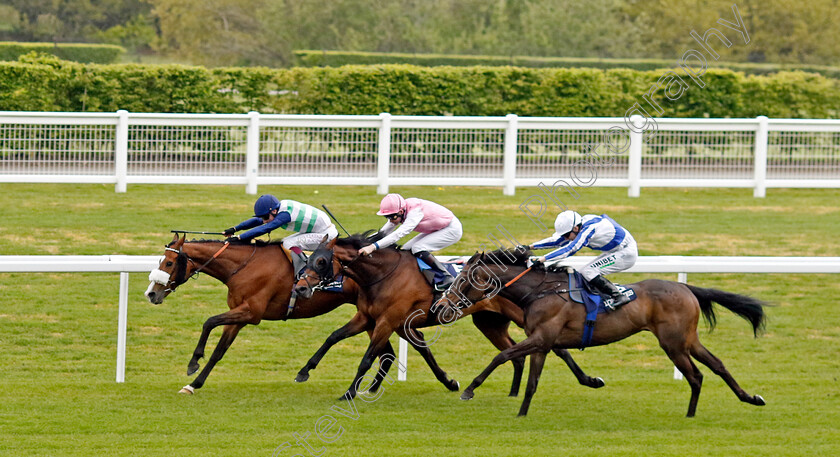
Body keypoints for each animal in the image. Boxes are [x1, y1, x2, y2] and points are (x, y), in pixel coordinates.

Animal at [290, 235, 604, 400]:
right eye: (307, 258)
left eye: (321, 261)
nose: (301, 287)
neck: (382, 275)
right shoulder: (367, 317)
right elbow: (333, 337)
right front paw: (304, 370)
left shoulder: (388, 321)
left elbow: (368, 357)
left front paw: (349, 393)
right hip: (489, 323)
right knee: (514, 352)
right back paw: (513, 392)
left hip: (522, 319)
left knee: (557, 348)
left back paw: (590, 380)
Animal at [442, 249, 772, 416]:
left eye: (463, 281)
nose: (444, 304)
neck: (541, 292)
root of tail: (686, 288)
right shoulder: (543, 343)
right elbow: (532, 381)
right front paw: (522, 414)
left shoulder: (540, 338)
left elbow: (502, 356)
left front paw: (469, 389)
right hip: (688, 339)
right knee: (717, 365)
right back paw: (750, 398)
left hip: (673, 343)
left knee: (696, 375)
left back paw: (690, 415)